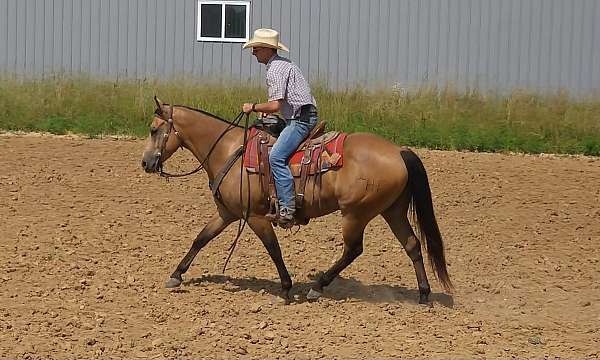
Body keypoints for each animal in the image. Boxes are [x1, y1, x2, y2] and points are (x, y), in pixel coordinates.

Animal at [141, 97, 450, 304]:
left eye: (154, 130)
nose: (145, 163)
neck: (230, 152)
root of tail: (399, 151)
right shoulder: (228, 212)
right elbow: (201, 239)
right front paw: (176, 275)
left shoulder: (255, 217)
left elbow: (273, 249)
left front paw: (286, 288)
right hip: (392, 211)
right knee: (412, 245)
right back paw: (424, 294)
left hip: (356, 213)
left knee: (353, 249)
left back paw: (317, 287)